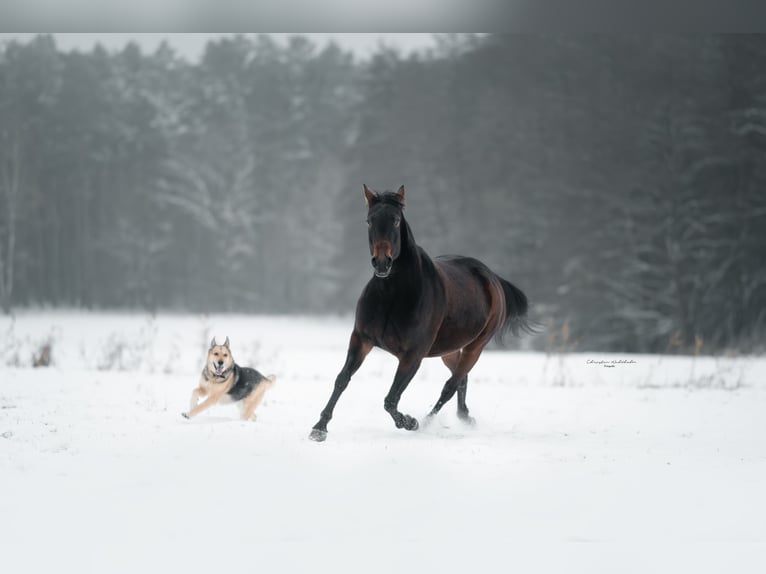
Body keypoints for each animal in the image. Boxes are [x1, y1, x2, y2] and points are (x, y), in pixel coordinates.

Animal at [309, 184, 532, 442]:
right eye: (369, 221)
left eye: (396, 221)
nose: (382, 263)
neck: (392, 295)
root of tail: (492, 277)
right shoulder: (361, 339)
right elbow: (342, 380)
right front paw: (319, 428)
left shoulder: (412, 356)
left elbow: (391, 400)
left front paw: (410, 422)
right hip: (448, 349)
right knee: (460, 380)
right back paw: (465, 417)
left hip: (476, 347)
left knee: (450, 386)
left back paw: (427, 422)